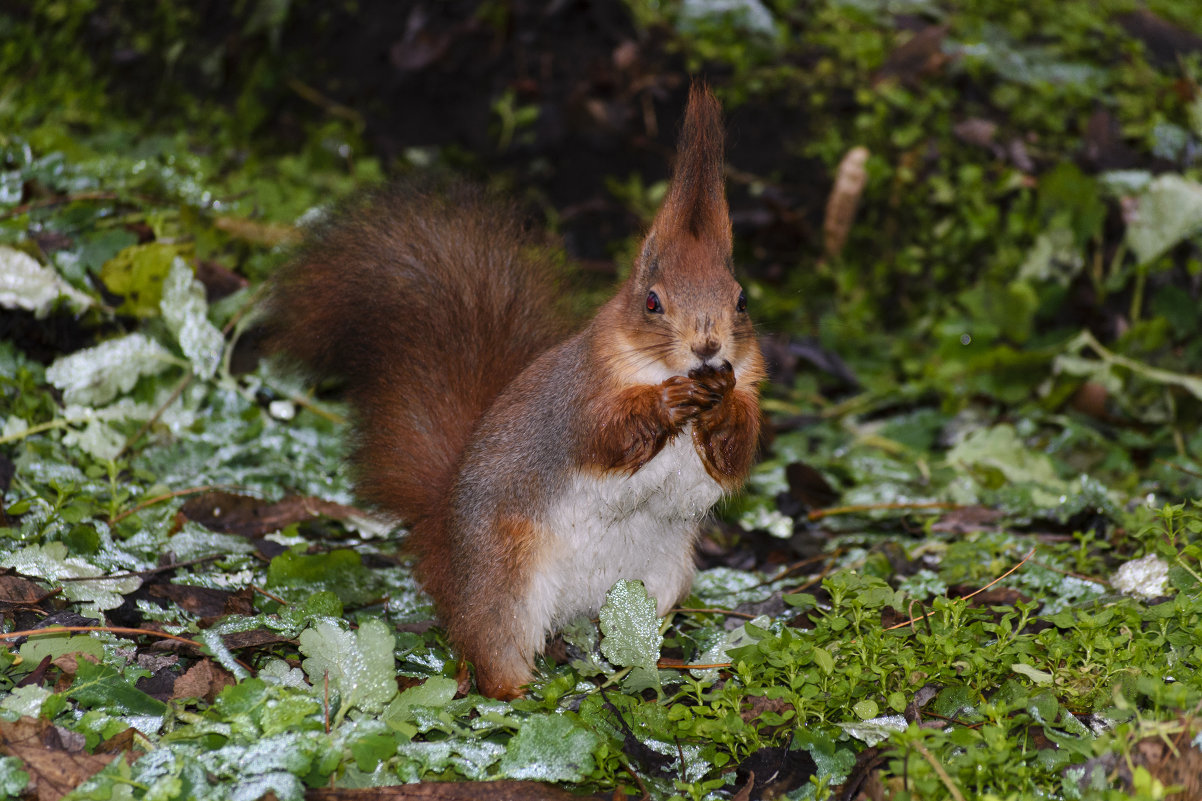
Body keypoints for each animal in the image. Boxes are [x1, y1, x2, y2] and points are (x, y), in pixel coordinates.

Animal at [266, 85, 764, 697]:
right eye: (652, 301)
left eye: (741, 300)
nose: (708, 348)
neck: (652, 369)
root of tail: (445, 548)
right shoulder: (576, 399)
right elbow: (603, 437)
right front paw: (666, 405)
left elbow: (736, 453)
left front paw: (723, 410)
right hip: (507, 578)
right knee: (492, 649)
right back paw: (519, 692)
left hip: (657, 582)